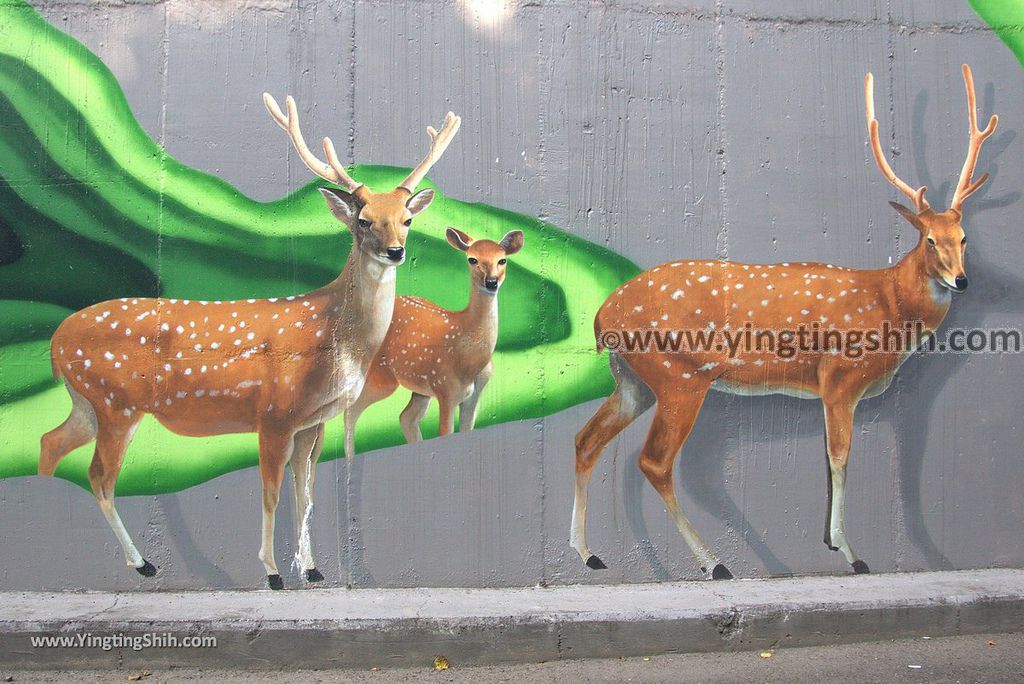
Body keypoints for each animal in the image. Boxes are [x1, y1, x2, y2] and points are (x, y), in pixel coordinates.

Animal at [37, 93, 460, 589]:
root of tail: (56, 340)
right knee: (99, 476)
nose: (395, 251)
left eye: (407, 219)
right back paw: (142, 563)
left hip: (88, 402)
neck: (338, 345)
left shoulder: (312, 421)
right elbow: (271, 493)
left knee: (49, 442)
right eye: (364, 220)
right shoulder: (274, 413)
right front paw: (273, 573)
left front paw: (312, 569)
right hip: (114, 401)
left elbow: (306, 494)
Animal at [344, 225, 524, 454]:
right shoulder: (445, 388)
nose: (491, 282)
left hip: (418, 386)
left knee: (405, 417)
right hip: (380, 376)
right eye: (472, 259)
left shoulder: (475, 394)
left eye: (502, 260)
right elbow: (445, 432)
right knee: (350, 410)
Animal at [577, 65, 999, 577]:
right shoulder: (840, 375)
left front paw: (830, 542)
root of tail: (602, 316)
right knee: (653, 461)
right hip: (680, 375)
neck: (889, 306)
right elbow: (840, 457)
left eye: (964, 237)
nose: (961, 280)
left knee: (586, 439)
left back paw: (589, 554)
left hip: (633, 380)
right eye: (930, 240)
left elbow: (828, 459)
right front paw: (852, 553)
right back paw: (714, 563)